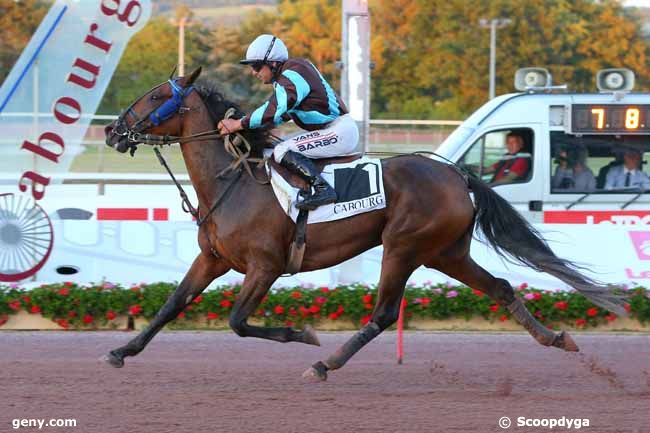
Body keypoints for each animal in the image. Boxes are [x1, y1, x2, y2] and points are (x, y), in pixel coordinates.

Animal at [102, 66, 624, 380]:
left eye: (155, 96)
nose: (111, 130)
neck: (233, 180)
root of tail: (456, 174)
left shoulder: (265, 266)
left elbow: (237, 321)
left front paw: (303, 334)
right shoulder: (212, 259)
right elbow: (172, 304)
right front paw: (121, 351)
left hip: (404, 247)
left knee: (384, 313)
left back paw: (325, 362)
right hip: (446, 252)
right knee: (500, 287)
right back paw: (555, 337)